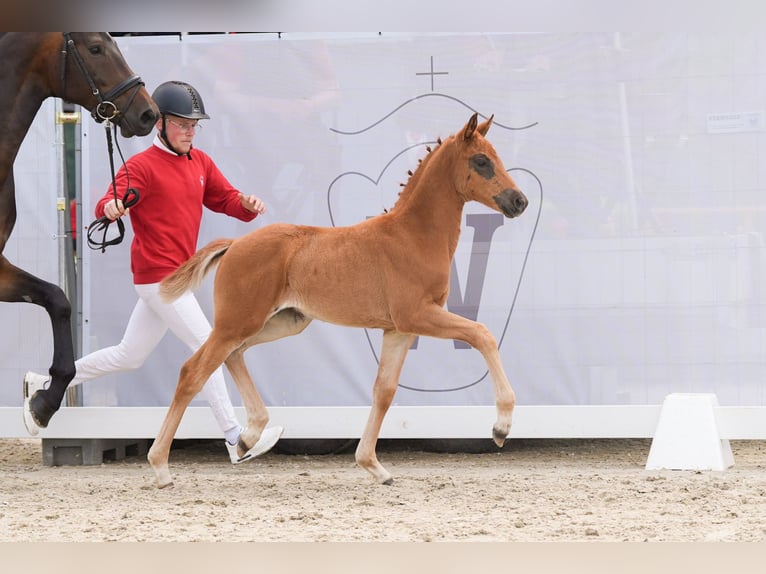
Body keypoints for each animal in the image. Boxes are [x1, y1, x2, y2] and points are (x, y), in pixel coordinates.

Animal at [148, 112, 528, 488]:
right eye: (481, 161)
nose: (519, 201)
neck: (413, 236)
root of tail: (235, 244)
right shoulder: (417, 315)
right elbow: (482, 334)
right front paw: (501, 426)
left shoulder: (398, 330)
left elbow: (384, 391)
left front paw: (373, 465)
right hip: (238, 322)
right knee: (193, 371)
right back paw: (161, 467)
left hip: (281, 322)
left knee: (233, 355)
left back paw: (248, 437)